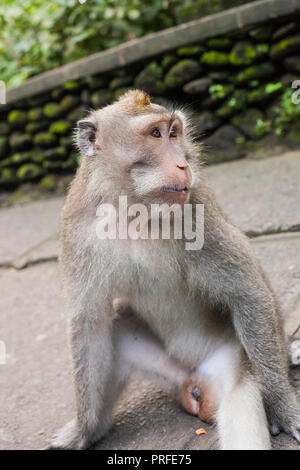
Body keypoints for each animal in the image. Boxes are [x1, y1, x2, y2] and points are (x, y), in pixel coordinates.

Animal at [49, 89, 300, 452]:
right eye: (155, 134)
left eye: (174, 133)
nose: (184, 163)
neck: (135, 207)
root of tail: (195, 382)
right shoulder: (76, 230)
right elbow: (89, 324)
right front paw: (82, 431)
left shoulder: (198, 210)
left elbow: (246, 293)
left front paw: (282, 404)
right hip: (169, 372)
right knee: (115, 329)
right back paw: (98, 427)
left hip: (236, 365)